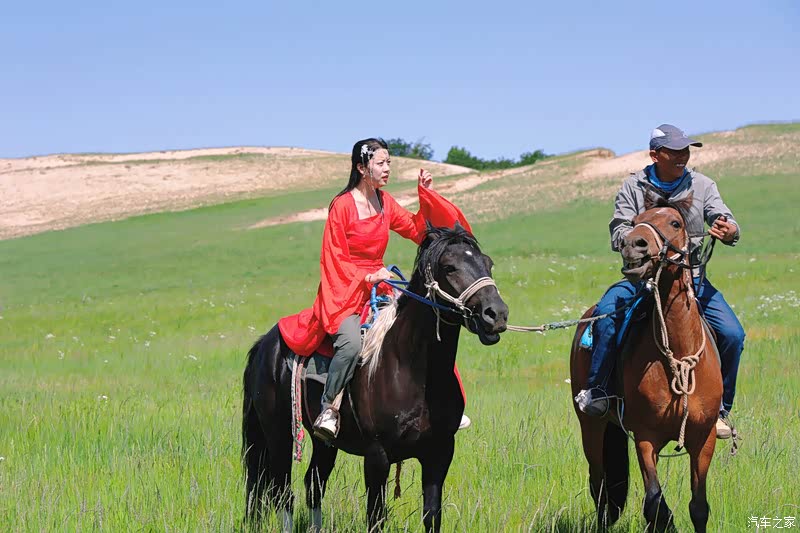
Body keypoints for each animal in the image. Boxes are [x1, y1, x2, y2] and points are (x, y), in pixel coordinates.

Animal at [242, 224, 509, 532]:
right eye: (449, 267)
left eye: (488, 263)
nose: (496, 314)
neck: (411, 368)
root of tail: (266, 343)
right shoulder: (377, 456)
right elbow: (376, 516)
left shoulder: (439, 453)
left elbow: (432, 515)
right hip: (278, 434)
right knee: (282, 489)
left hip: (324, 442)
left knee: (314, 484)